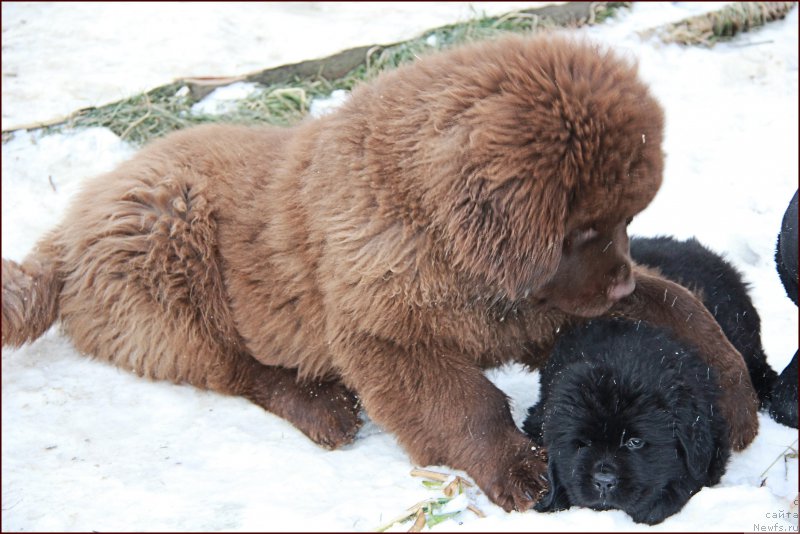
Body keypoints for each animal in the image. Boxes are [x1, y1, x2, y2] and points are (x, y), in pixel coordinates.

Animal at [3, 35, 760, 512]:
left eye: (628, 220)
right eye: (583, 229)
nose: (620, 282)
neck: (438, 230)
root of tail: (66, 230)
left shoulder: (544, 308)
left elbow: (680, 307)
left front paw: (735, 396)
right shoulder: (389, 335)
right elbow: (462, 403)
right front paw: (519, 469)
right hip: (171, 288)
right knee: (239, 369)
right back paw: (324, 407)